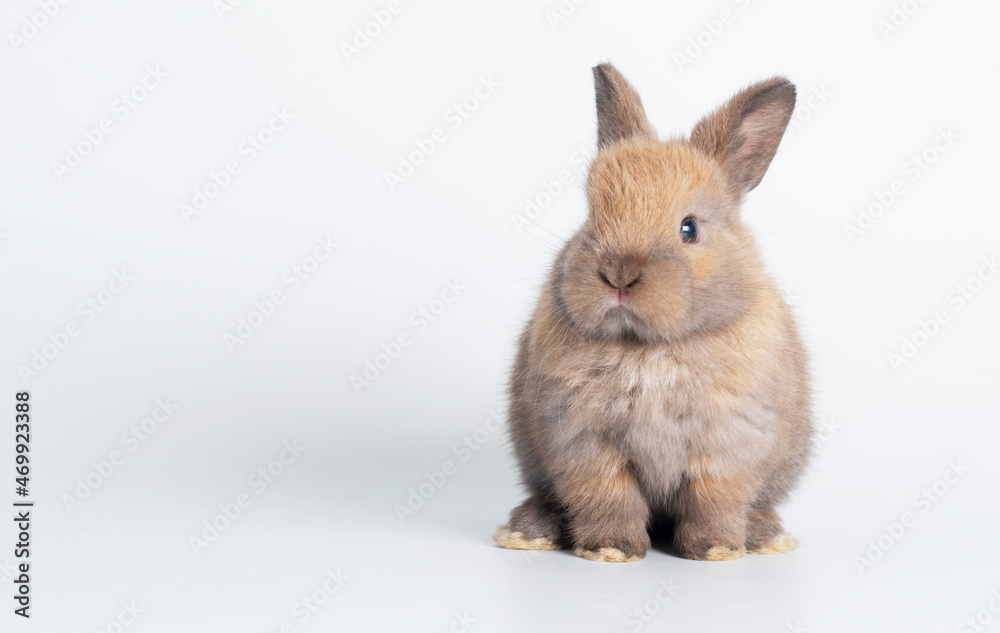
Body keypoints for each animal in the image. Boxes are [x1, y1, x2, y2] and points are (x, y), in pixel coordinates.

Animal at [493, 63, 813, 562]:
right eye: (591, 215)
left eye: (690, 228)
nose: (618, 275)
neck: (648, 348)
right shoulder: (586, 444)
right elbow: (608, 497)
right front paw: (611, 550)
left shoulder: (726, 448)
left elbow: (713, 501)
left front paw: (716, 550)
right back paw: (527, 532)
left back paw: (766, 537)